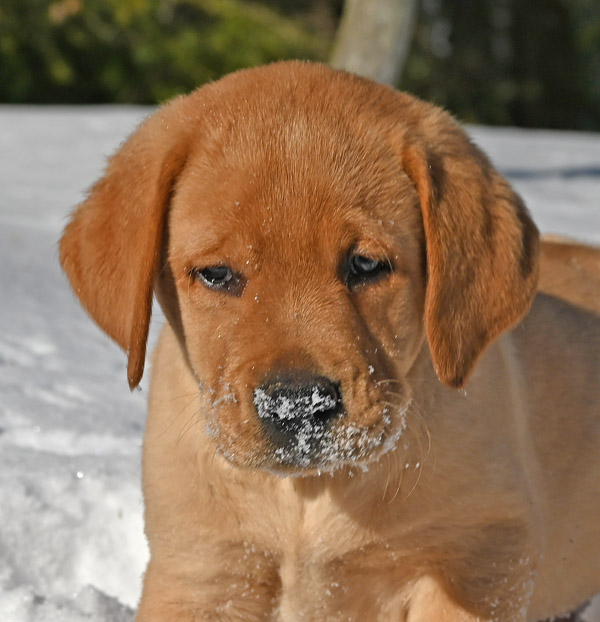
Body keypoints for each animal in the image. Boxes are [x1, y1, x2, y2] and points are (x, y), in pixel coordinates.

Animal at [59, 61, 600, 622]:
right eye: (216, 274)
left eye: (366, 264)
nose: (297, 405)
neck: (308, 494)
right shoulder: (202, 570)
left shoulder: (481, 555)